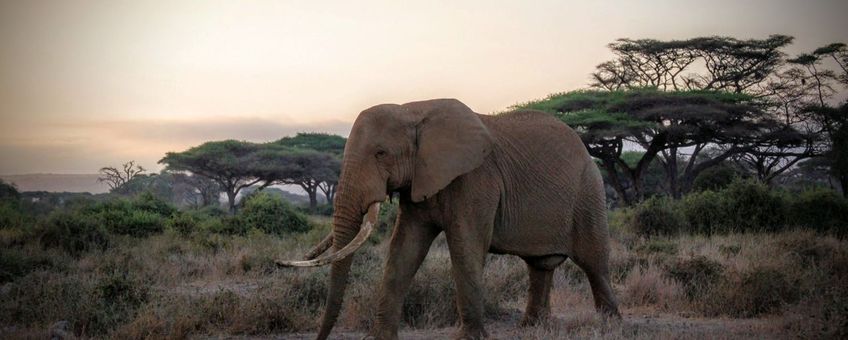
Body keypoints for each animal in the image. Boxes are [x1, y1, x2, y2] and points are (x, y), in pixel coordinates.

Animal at [282, 99, 620, 340]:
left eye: (380, 153)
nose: (320, 338)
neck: (413, 110)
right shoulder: (419, 180)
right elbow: (403, 251)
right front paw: (377, 338)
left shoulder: (475, 180)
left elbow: (464, 248)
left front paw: (469, 339)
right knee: (540, 266)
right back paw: (531, 329)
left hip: (589, 192)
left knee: (594, 263)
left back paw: (610, 324)